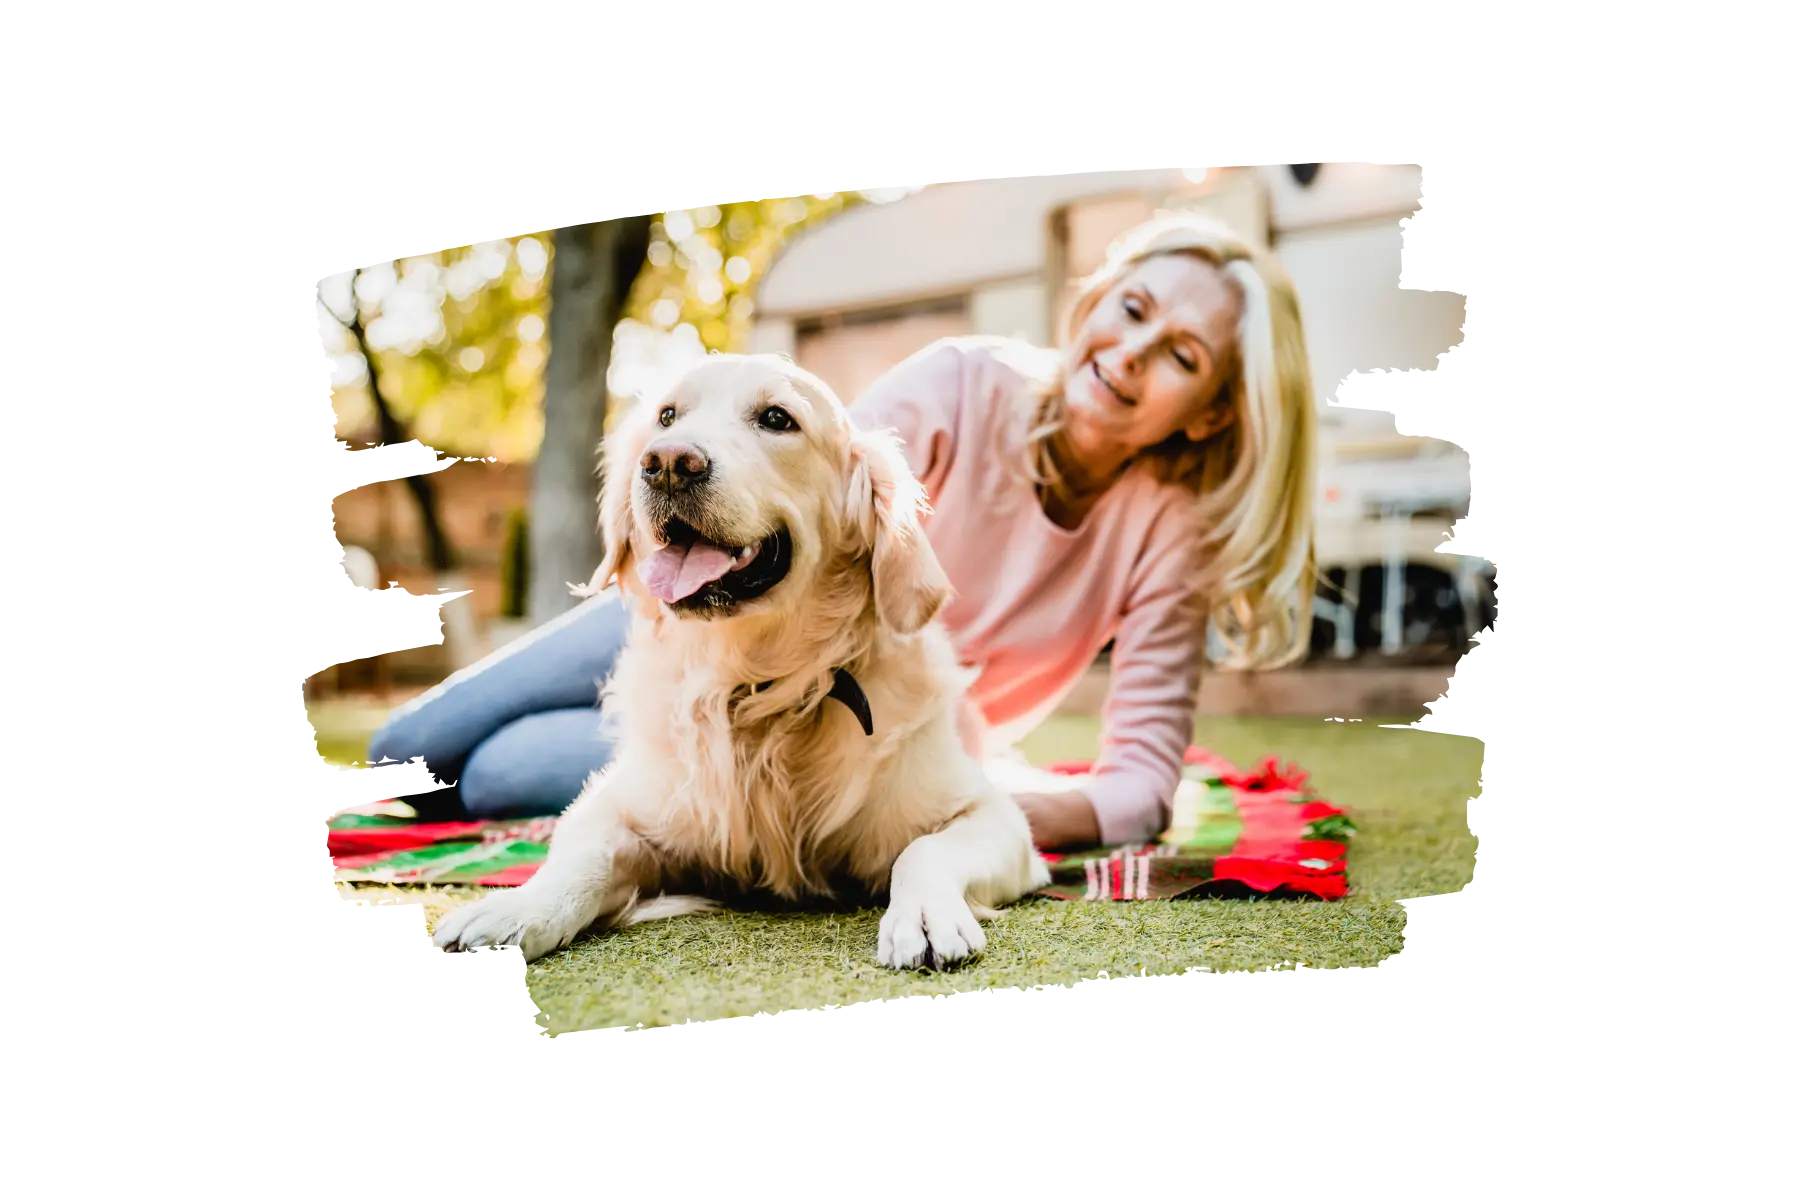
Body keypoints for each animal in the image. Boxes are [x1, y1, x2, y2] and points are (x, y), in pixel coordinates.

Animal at [428, 352, 1051, 971]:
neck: (756, 688)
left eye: (777, 418)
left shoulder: (994, 817)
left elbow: (922, 849)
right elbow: (581, 856)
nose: (668, 463)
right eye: (666, 416)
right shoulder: (619, 807)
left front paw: (923, 916)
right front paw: (516, 910)